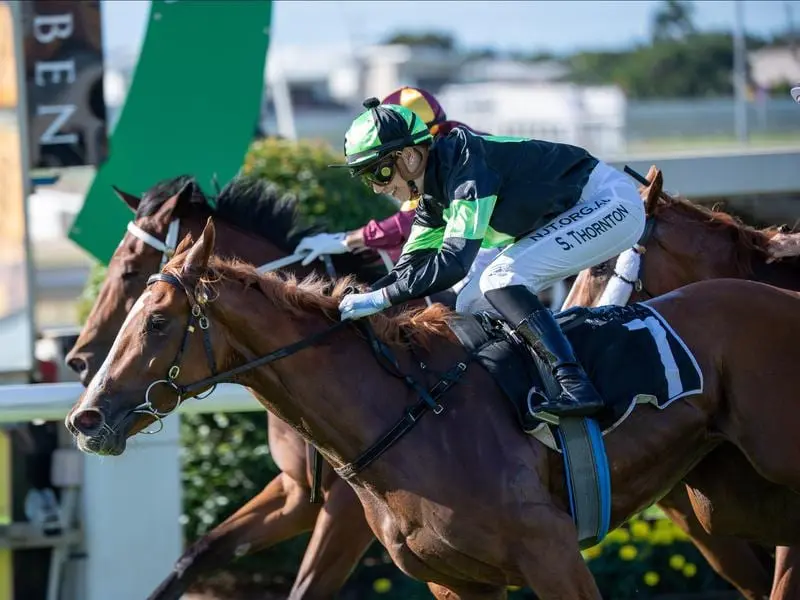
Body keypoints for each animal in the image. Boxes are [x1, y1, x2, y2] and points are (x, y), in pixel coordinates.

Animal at [65, 175, 390, 600]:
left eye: (131, 269)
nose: (79, 360)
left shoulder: (350, 508)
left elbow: (305, 588)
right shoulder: (297, 492)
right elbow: (197, 554)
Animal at [65, 220, 800, 600]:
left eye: (156, 320)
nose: (84, 417)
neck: (409, 416)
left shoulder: (552, 554)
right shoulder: (453, 579)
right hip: (717, 500)